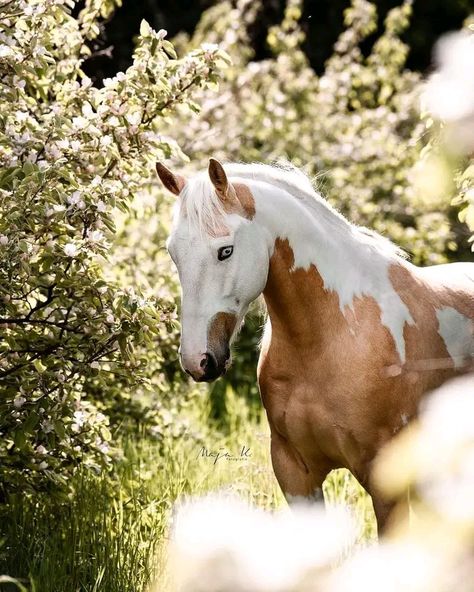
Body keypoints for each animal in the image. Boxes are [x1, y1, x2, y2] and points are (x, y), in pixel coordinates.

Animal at [156, 157, 474, 532]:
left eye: (225, 251)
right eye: (173, 253)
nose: (198, 360)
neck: (333, 337)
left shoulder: (388, 488)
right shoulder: (295, 474)